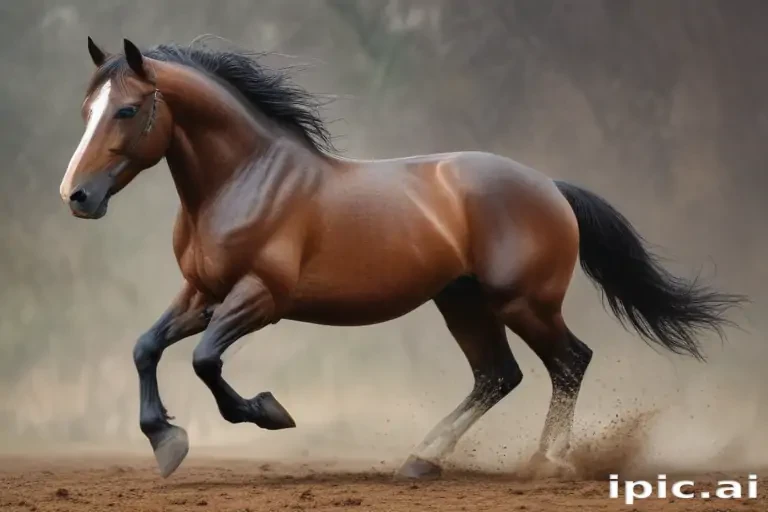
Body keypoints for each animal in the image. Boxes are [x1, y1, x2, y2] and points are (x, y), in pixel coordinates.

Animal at [59, 36, 745, 480]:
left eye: (127, 109)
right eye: (87, 110)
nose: (77, 197)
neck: (244, 181)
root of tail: (549, 186)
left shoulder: (259, 299)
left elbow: (204, 362)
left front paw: (268, 414)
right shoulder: (201, 294)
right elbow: (146, 348)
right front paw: (165, 440)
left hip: (523, 303)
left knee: (569, 362)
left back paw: (546, 462)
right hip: (462, 302)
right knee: (499, 375)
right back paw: (422, 460)